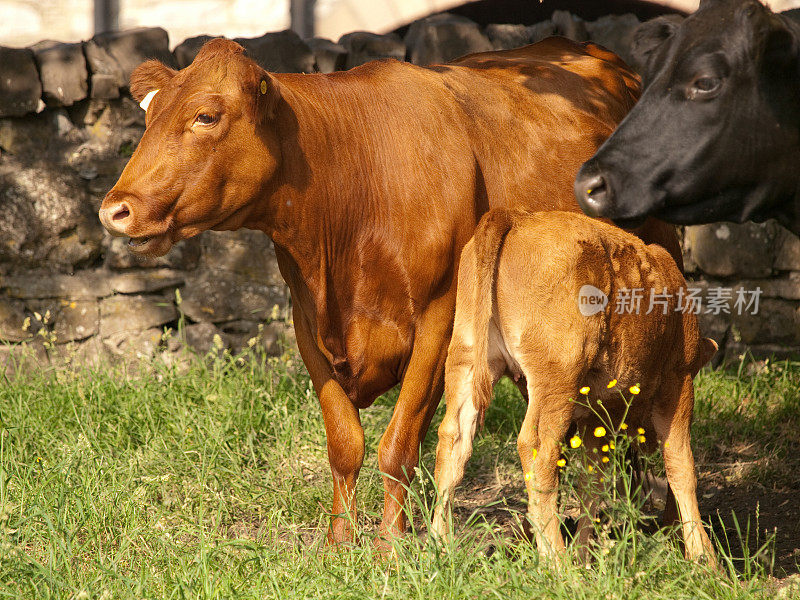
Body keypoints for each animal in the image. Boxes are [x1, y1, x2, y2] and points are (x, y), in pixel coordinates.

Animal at [95, 34, 680, 548]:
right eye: (147, 116)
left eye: (206, 115)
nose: (114, 209)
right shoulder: (307, 323)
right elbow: (344, 444)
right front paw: (338, 543)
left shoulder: (440, 321)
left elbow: (398, 444)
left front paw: (390, 545)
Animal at [432, 211, 720, 568]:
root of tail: (517, 217)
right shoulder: (677, 381)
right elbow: (681, 465)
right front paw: (705, 559)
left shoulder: (594, 418)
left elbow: (591, 485)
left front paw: (585, 555)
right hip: (557, 378)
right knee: (537, 450)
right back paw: (558, 565)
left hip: (467, 359)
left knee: (453, 441)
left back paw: (439, 549)